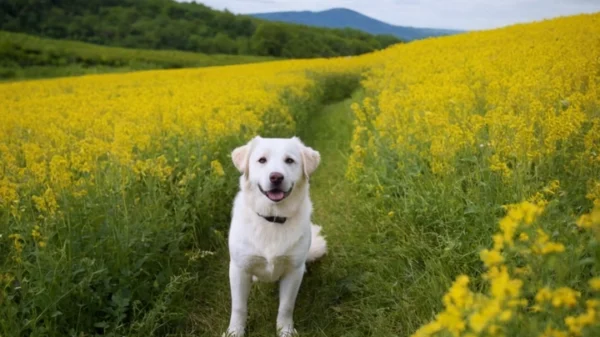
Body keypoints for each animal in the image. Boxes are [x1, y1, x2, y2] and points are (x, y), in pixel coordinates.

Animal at [225, 136, 328, 336]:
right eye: (262, 160)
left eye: (289, 160)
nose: (276, 177)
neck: (272, 218)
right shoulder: (238, 269)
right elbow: (239, 307)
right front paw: (235, 332)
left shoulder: (293, 272)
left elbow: (286, 306)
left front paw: (285, 330)